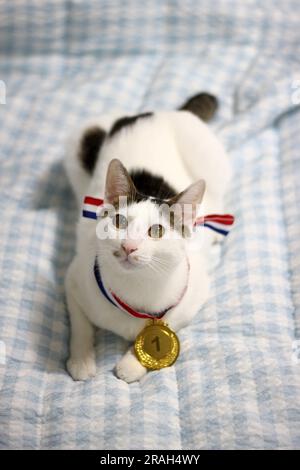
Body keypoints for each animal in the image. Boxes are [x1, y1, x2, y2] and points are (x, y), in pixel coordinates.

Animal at [64, 93, 231, 384]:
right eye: (120, 222)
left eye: (157, 231)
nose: (129, 246)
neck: (137, 286)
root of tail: (163, 113)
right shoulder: (74, 277)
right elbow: (79, 323)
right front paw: (81, 359)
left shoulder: (195, 292)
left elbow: (170, 321)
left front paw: (132, 363)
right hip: (81, 140)